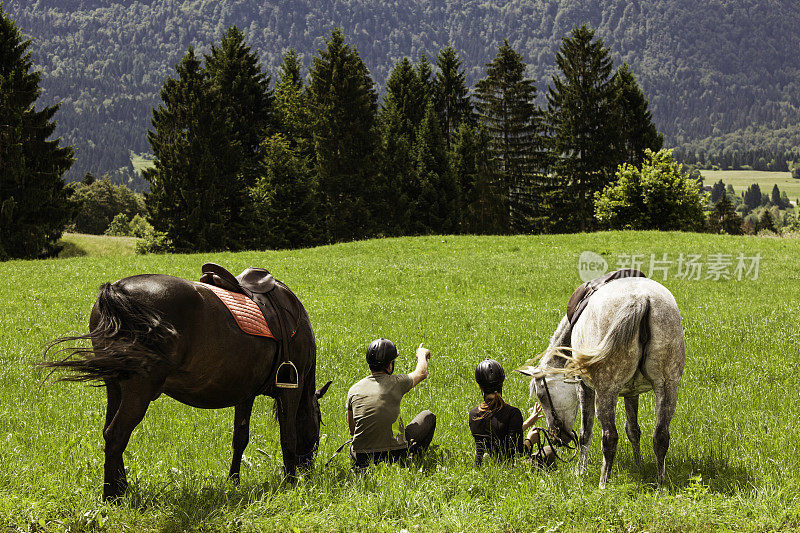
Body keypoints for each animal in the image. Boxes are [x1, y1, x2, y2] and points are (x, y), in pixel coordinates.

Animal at [44, 272, 328, 500]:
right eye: (318, 424)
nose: (309, 470)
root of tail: (117, 290)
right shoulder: (290, 390)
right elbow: (288, 437)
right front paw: (290, 483)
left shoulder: (245, 394)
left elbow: (240, 438)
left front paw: (234, 482)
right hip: (138, 391)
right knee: (116, 435)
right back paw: (111, 496)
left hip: (114, 386)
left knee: (108, 433)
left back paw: (121, 487)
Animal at [520, 276, 684, 488]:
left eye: (542, 396)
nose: (556, 438)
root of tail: (641, 300)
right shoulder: (632, 393)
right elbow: (633, 430)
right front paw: (638, 463)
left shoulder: (583, 387)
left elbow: (585, 433)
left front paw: (580, 472)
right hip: (667, 387)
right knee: (661, 436)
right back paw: (661, 483)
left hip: (606, 392)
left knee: (610, 437)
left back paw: (603, 484)